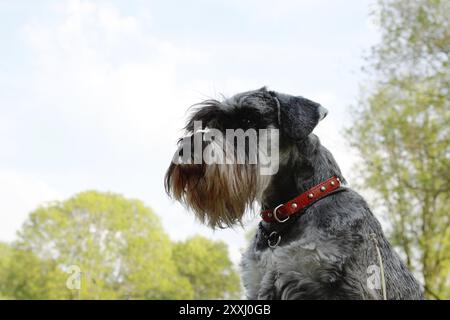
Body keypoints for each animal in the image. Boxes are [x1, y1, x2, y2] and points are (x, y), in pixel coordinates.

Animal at [164, 87, 422, 300]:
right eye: (210, 123)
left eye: (247, 119)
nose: (187, 147)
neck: (288, 213)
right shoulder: (260, 282)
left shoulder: (350, 287)